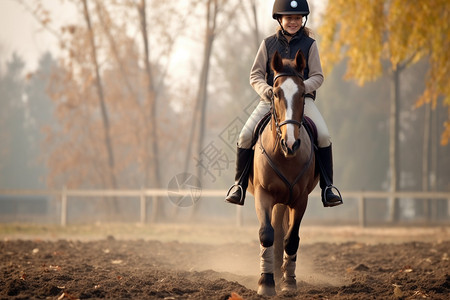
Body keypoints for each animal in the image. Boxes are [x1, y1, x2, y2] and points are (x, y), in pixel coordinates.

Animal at [246, 49, 320, 296]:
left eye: (302, 93)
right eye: (276, 93)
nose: (291, 144)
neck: (283, 154)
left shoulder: (300, 200)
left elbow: (291, 239)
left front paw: (289, 283)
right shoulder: (263, 194)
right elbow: (267, 234)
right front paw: (266, 282)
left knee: (283, 233)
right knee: (275, 231)